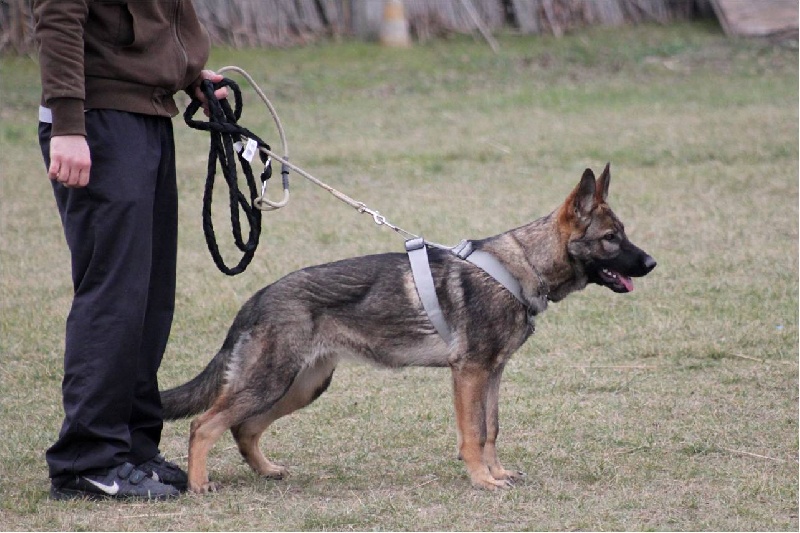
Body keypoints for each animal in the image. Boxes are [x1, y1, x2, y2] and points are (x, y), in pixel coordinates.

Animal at [161, 164, 656, 492]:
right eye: (611, 238)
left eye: (623, 233)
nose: (652, 263)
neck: (520, 266)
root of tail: (257, 297)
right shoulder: (469, 374)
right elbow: (473, 434)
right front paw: (482, 481)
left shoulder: (493, 373)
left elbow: (492, 429)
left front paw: (497, 473)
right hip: (272, 381)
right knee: (203, 425)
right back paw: (199, 485)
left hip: (302, 386)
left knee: (243, 428)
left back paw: (266, 472)